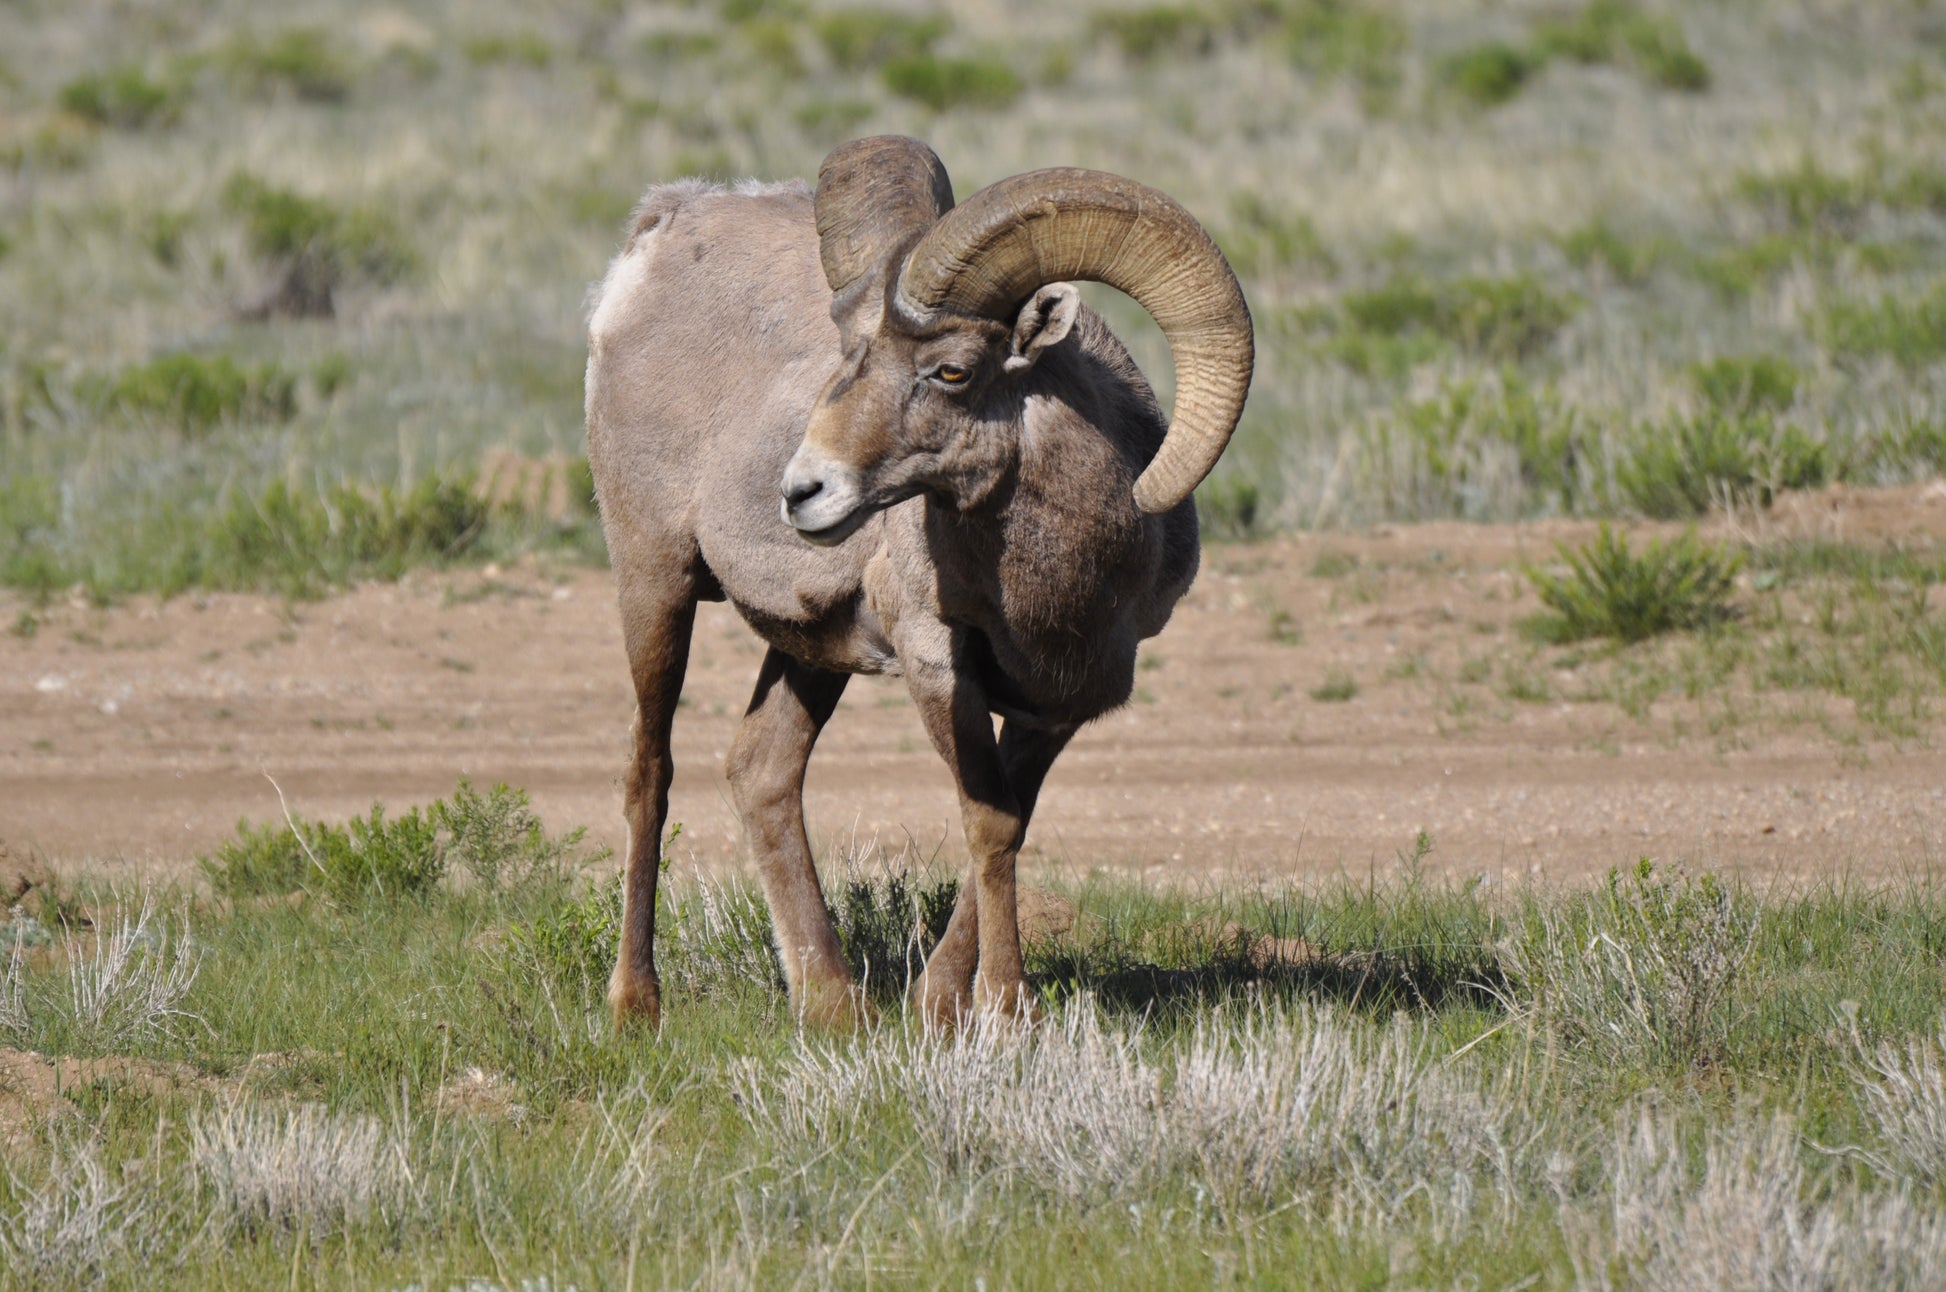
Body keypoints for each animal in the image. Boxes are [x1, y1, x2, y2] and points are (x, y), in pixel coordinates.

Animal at [584, 136, 1253, 1030]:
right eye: (850, 358)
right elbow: (989, 823)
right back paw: (636, 1004)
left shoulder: (1066, 701)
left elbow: (1012, 820)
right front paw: (1004, 1011)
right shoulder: (939, 663)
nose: (804, 491)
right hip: (654, 582)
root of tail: (654, 237)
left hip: (812, 650)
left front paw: (938, 1006)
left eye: (952, 371)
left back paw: (835, 1005)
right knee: (649, 774)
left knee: (762, 773)